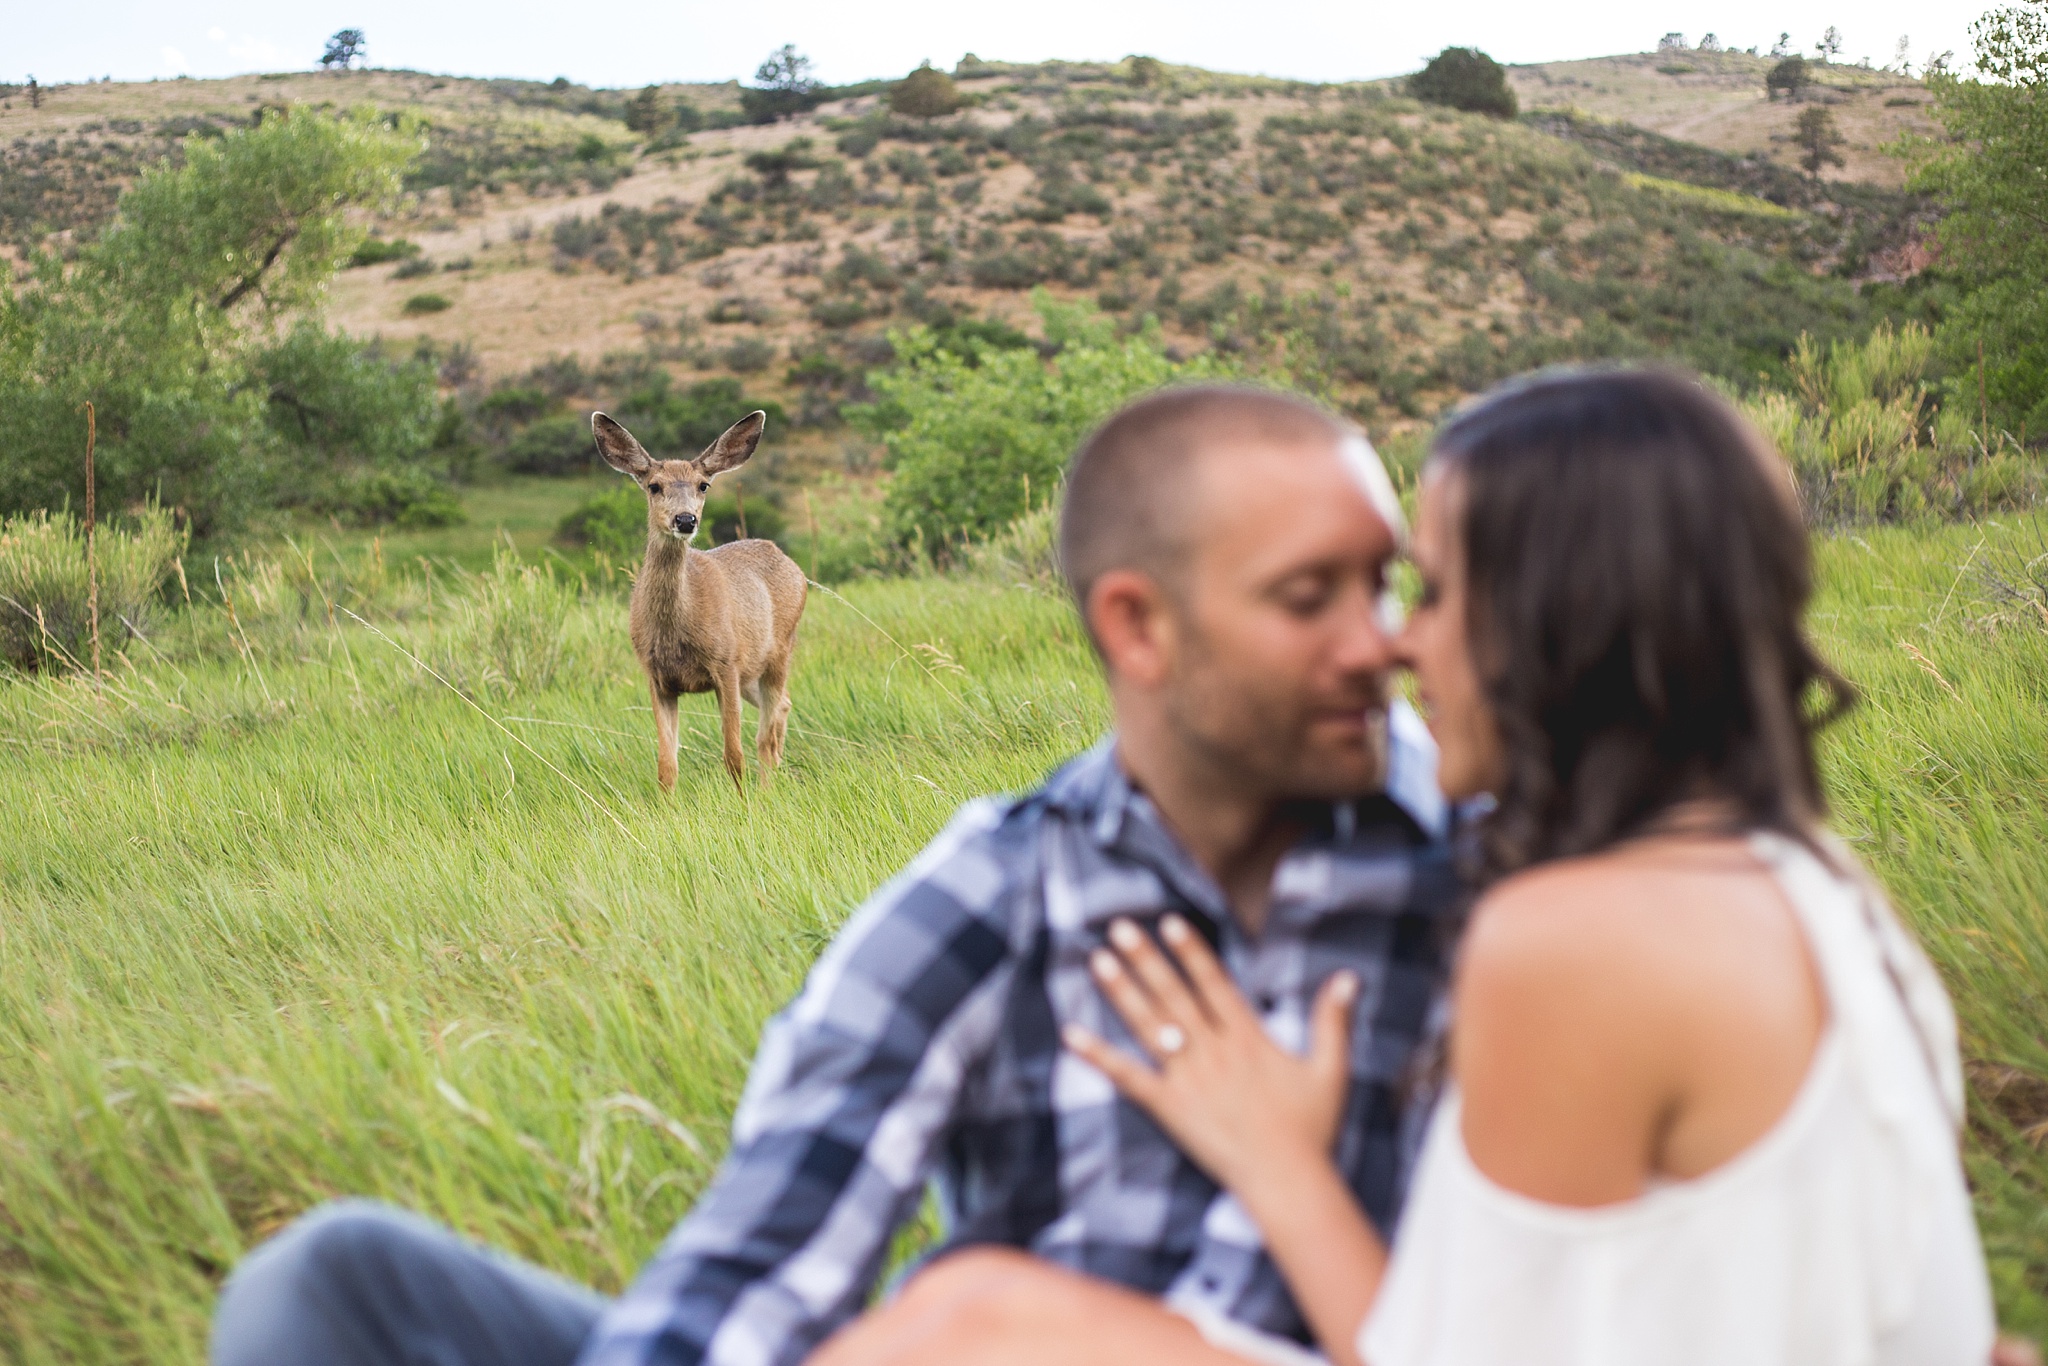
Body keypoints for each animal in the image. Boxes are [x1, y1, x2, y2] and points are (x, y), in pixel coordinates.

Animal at [589, 411, 802, 790]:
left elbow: (733, 755)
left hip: (779, 651)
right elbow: (666, 764)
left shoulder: (726, 663)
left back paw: (767, 786)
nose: (686, 519)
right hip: (753, 672)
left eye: (704, 485)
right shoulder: (657, 677)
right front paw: (666, 803)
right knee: (783, 708)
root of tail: (791, 564)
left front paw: (743, 800)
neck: (677, 632)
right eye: (653, 485)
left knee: (765, 734)